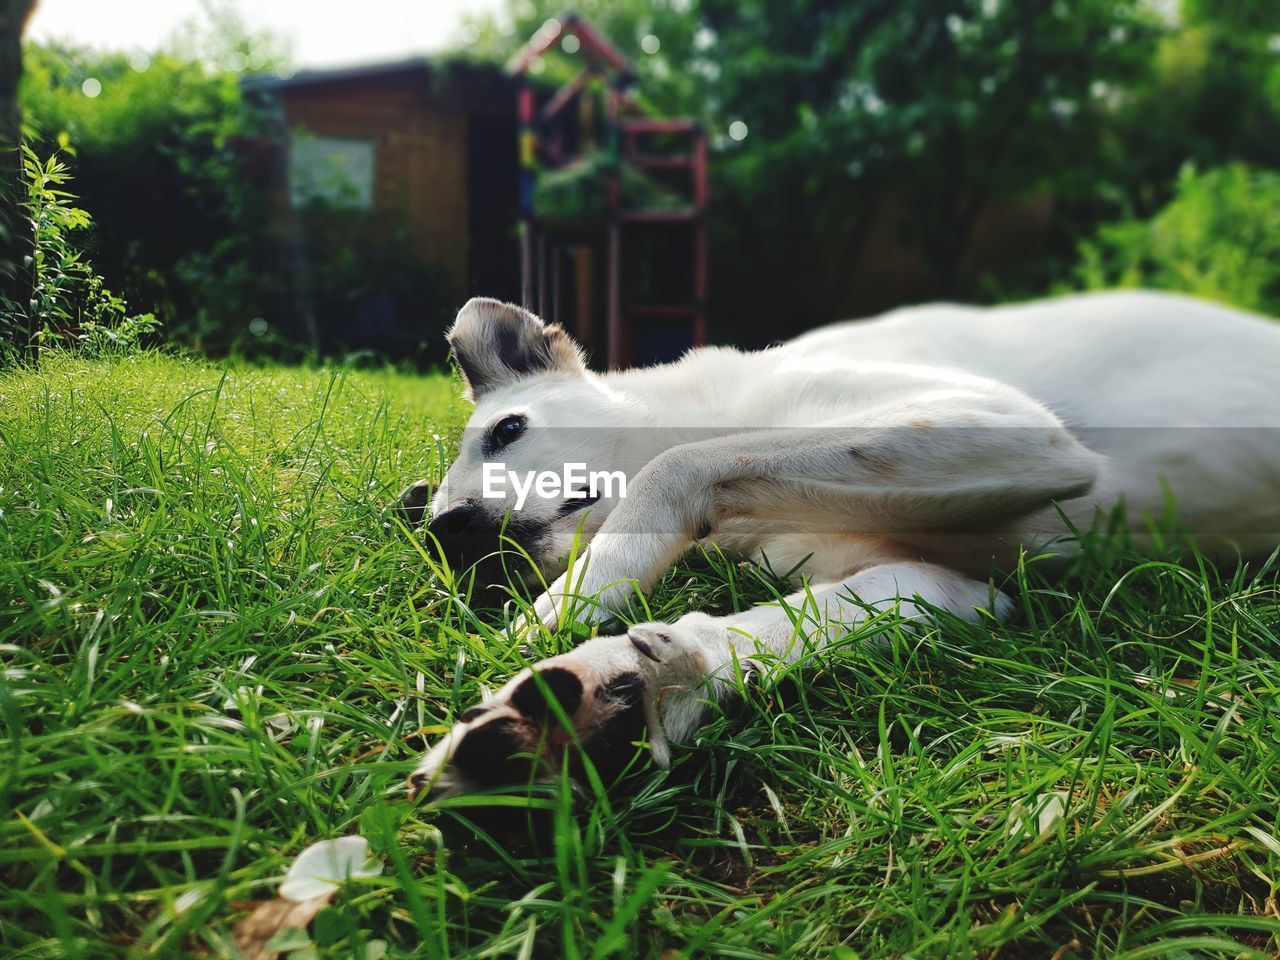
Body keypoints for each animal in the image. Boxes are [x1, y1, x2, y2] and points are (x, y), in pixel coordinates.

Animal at [407, 289, 1280, 798]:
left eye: (507, 430)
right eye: (436, 521)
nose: (447, 533)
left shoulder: (1020, 432)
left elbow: (676, 465)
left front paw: (580, 598)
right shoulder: (950, 588)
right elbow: (753, 632)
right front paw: (618, 693)